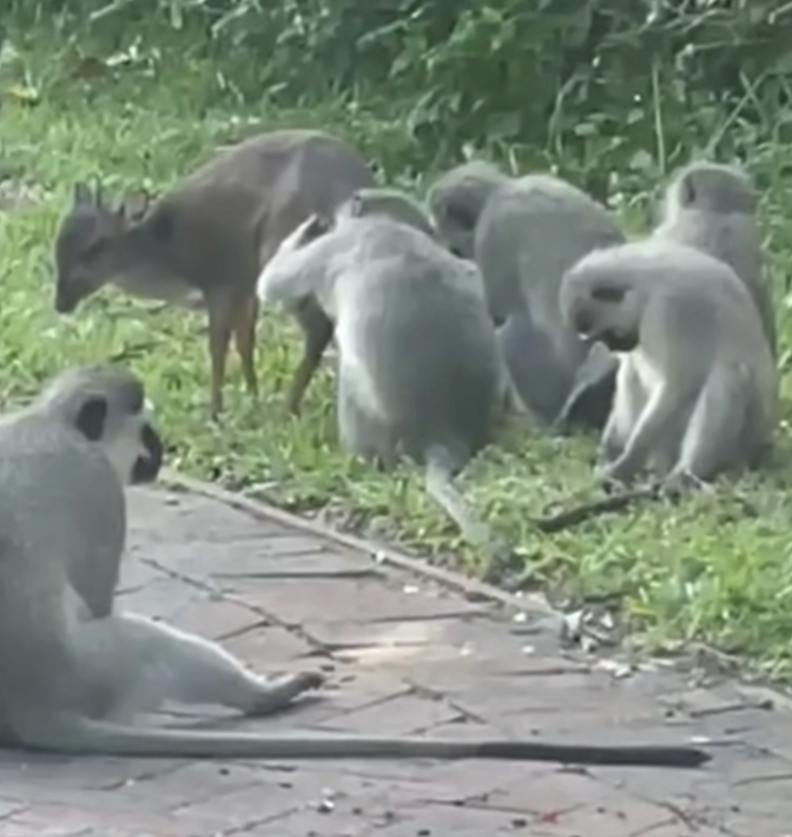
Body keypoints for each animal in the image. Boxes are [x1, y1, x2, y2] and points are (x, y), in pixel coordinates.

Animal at [0, 365, 711, 767]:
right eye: (144, 433)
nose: (158, 453)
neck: (50, 423)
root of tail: (31, 704)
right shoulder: (99, 488)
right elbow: (98, 599)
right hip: (94, 673)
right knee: (142, 641)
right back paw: (267, 697)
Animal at [52, 130, 376, 418]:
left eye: (96, 247)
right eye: (58, 243)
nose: (60, 303)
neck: (170, 256)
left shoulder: (221, 281)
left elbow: (217, 348)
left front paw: (216, 412)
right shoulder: (245, 285)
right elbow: (245, 342)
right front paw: (253, 396)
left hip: (285, 251)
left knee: (319, 328)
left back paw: (289, 409)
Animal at [558, 239, 777, 493]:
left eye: (606, 335)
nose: (612, 347)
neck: (646, 287)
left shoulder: (671, 310)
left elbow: (677, 388)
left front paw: (627, 461)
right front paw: (611, 450)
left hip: (742, 441)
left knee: (729, 375)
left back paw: (684, 474)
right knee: (632, 371)